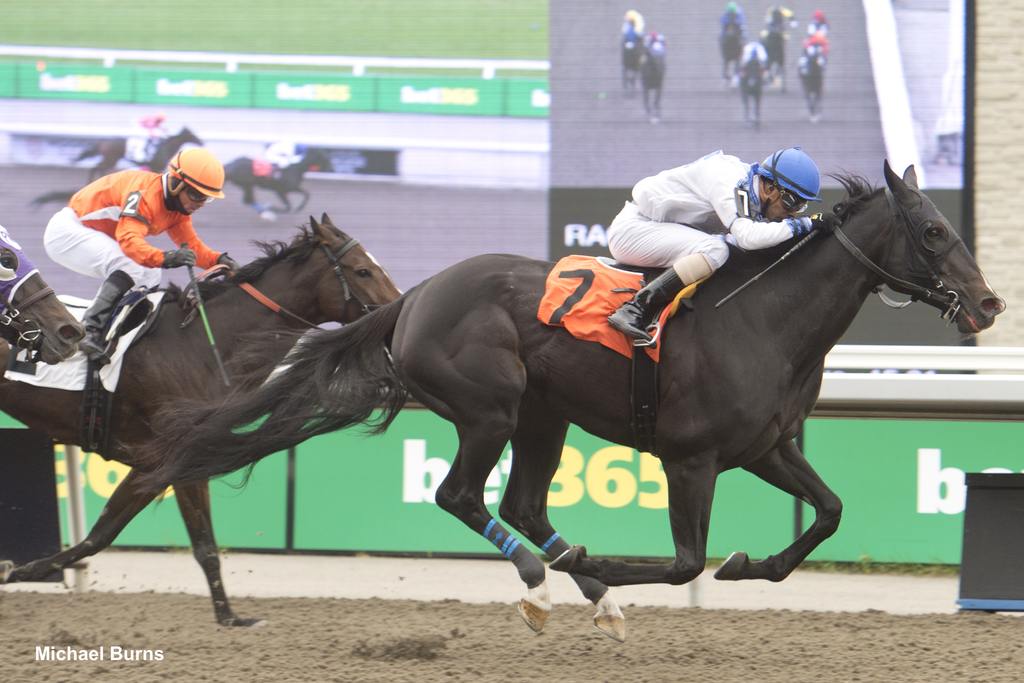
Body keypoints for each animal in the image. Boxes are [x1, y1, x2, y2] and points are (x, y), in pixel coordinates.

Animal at [134, 161, 999, 643]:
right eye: (930, 231)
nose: (989, 304)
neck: (763, 316)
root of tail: (415, 296)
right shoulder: (692, 458)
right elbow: (684, 559)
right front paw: (610, 561)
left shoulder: (768, 446)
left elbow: (827, 514)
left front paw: (749, 562)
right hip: (492, 407)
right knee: (463, 495)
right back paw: (553, 572)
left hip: (544, 415)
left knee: (522, 502)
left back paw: (583, 587)